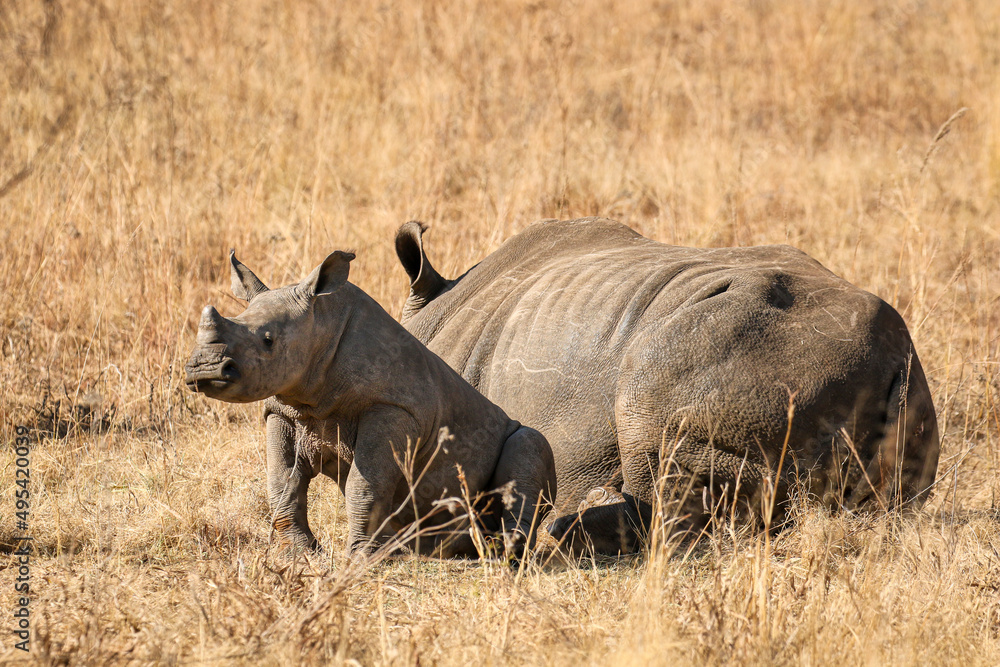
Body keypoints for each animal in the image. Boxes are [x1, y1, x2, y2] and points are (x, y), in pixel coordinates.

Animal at [183, 250, 556, 558]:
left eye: (268, 340)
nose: (205, 369)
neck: (322, 323)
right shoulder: (283, 411)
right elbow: (281, 482)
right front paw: (298, 555)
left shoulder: (391, 408)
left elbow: (365, 485)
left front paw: (360, 558)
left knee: (530, 443)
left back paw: (503, 552)